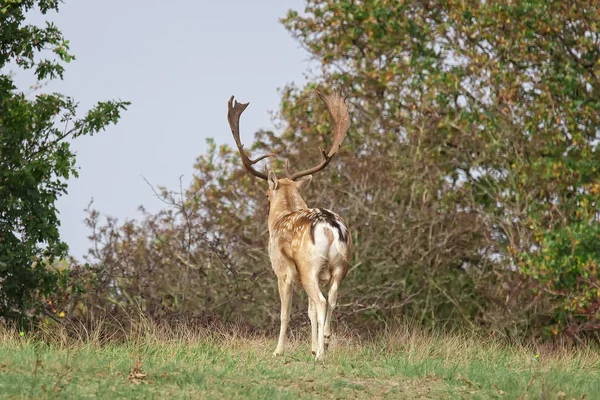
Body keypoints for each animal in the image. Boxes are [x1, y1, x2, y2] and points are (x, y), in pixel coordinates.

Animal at [229, 89, 352, 360]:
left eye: (267, 194)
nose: (265, 201)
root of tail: (331, 227)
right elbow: (309, 312)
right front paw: (312, 345)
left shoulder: (282, 269)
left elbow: (285, 313)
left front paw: (278, 351)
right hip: (341, 266)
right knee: (332, 299)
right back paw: (325, 343)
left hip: (309, 265)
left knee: (321, 301)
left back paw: (320, 355)